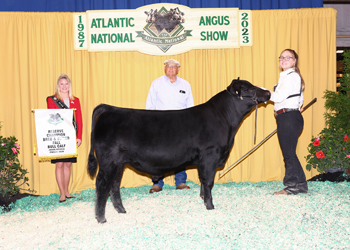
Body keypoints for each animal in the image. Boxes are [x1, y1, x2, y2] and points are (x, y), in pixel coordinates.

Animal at [87, 77, 270, 223]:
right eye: (248, 89)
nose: (268, 92)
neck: (225, 121)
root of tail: (110, 108)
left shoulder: (204, 161)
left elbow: (203, 181)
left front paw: (203, 199)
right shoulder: (210, 157)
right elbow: (208, 182)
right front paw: (210, 206)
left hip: (119, 163)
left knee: (114, 185)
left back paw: (121, 210)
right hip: (108, 162)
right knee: (102, 185)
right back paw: (101, 218)